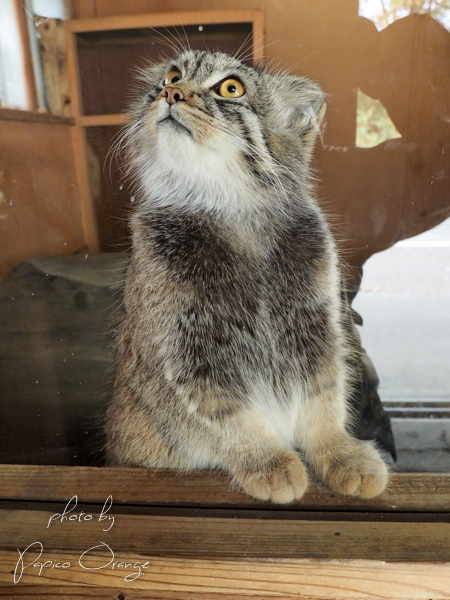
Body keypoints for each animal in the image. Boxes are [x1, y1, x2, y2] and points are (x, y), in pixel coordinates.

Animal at [107, 50, 388, 502]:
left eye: (231, 88)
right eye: (172, 76)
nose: (171, 93)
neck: (235, 212)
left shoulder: (319, 328)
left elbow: (324, 399)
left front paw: (341, 451)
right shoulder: (182, 352)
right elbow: (221, 416)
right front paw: (266, 461)